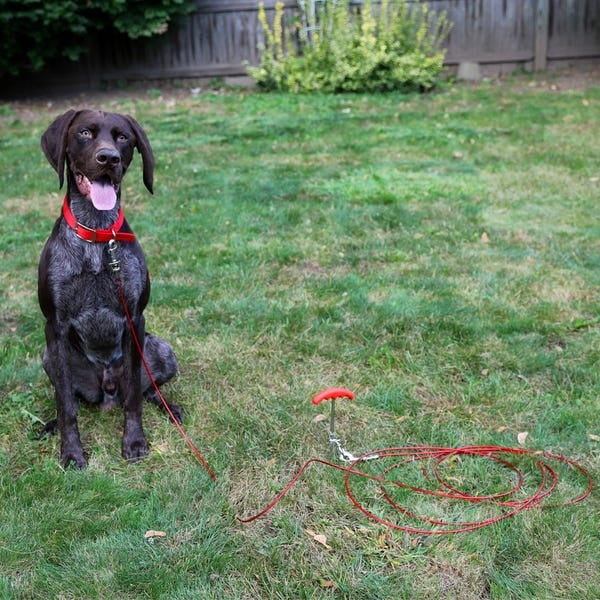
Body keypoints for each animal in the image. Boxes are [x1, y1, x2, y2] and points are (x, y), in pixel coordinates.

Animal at [39, 109, 180, 468]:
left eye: (123, 137)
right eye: (85, 133)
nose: (108, 158)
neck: (97, 233)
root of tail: (106, 390)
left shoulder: (135, 319)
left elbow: (134, 400)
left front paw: (135, 442)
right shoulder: (54, 327)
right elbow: (66, 405)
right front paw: (71, 452)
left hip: (162, 349)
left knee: (145, 390)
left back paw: (170, 408)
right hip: (48, 357)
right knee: (72, 398)